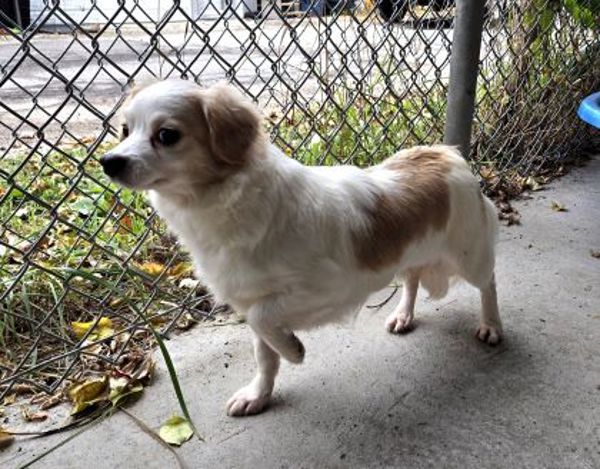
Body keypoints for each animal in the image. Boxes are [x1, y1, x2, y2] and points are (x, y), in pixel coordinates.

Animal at [99, 79, 502, 416]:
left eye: (167, 135)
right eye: (124, 129)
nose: (108, 162)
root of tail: (447, 154)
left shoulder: (329, 288)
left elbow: (264, 321)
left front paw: (293, 350)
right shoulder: (256, 295)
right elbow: (264, 349)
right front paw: (259, 394)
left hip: (469, 256)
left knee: (488, 284)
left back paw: (492, 325)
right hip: (409, 252)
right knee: (413, 278)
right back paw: (404, 314)